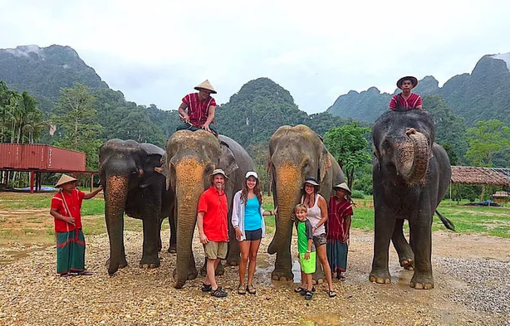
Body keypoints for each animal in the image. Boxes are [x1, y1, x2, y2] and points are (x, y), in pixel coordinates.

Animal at [98, 139, 176, 276]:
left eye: (134, 173)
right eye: (102, 170)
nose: (110, 272)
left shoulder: (153, 184)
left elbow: (150, 214)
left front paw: (148, 265)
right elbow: (108, 214)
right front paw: (119, 265)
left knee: (171, 217)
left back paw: (172, 250)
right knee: (159, 219)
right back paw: (159, 248)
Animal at [165, 129, 255, 288]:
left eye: (208, 169)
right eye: (173, 169)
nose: (175, 280)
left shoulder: (229, 177)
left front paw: (214, 272)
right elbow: (177, 215)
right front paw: (190, 275)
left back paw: (232, 262)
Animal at [266, 123, 342, 282]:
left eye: (306, 164)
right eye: (273, 166)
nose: (268, 249)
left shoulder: (325, 180)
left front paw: (317, 280)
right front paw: (280, 277)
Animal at [366, 111, 454, 290]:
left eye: (428, 140)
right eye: (387, 144)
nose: (411, 131)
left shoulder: (430, 176)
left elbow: (421, 218)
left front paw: (422, 285)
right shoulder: (377, 177)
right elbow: (384, 217)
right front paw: (379, 280)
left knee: (422, 223)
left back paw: (412, 263)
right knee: (397, 223)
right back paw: (408, 261)